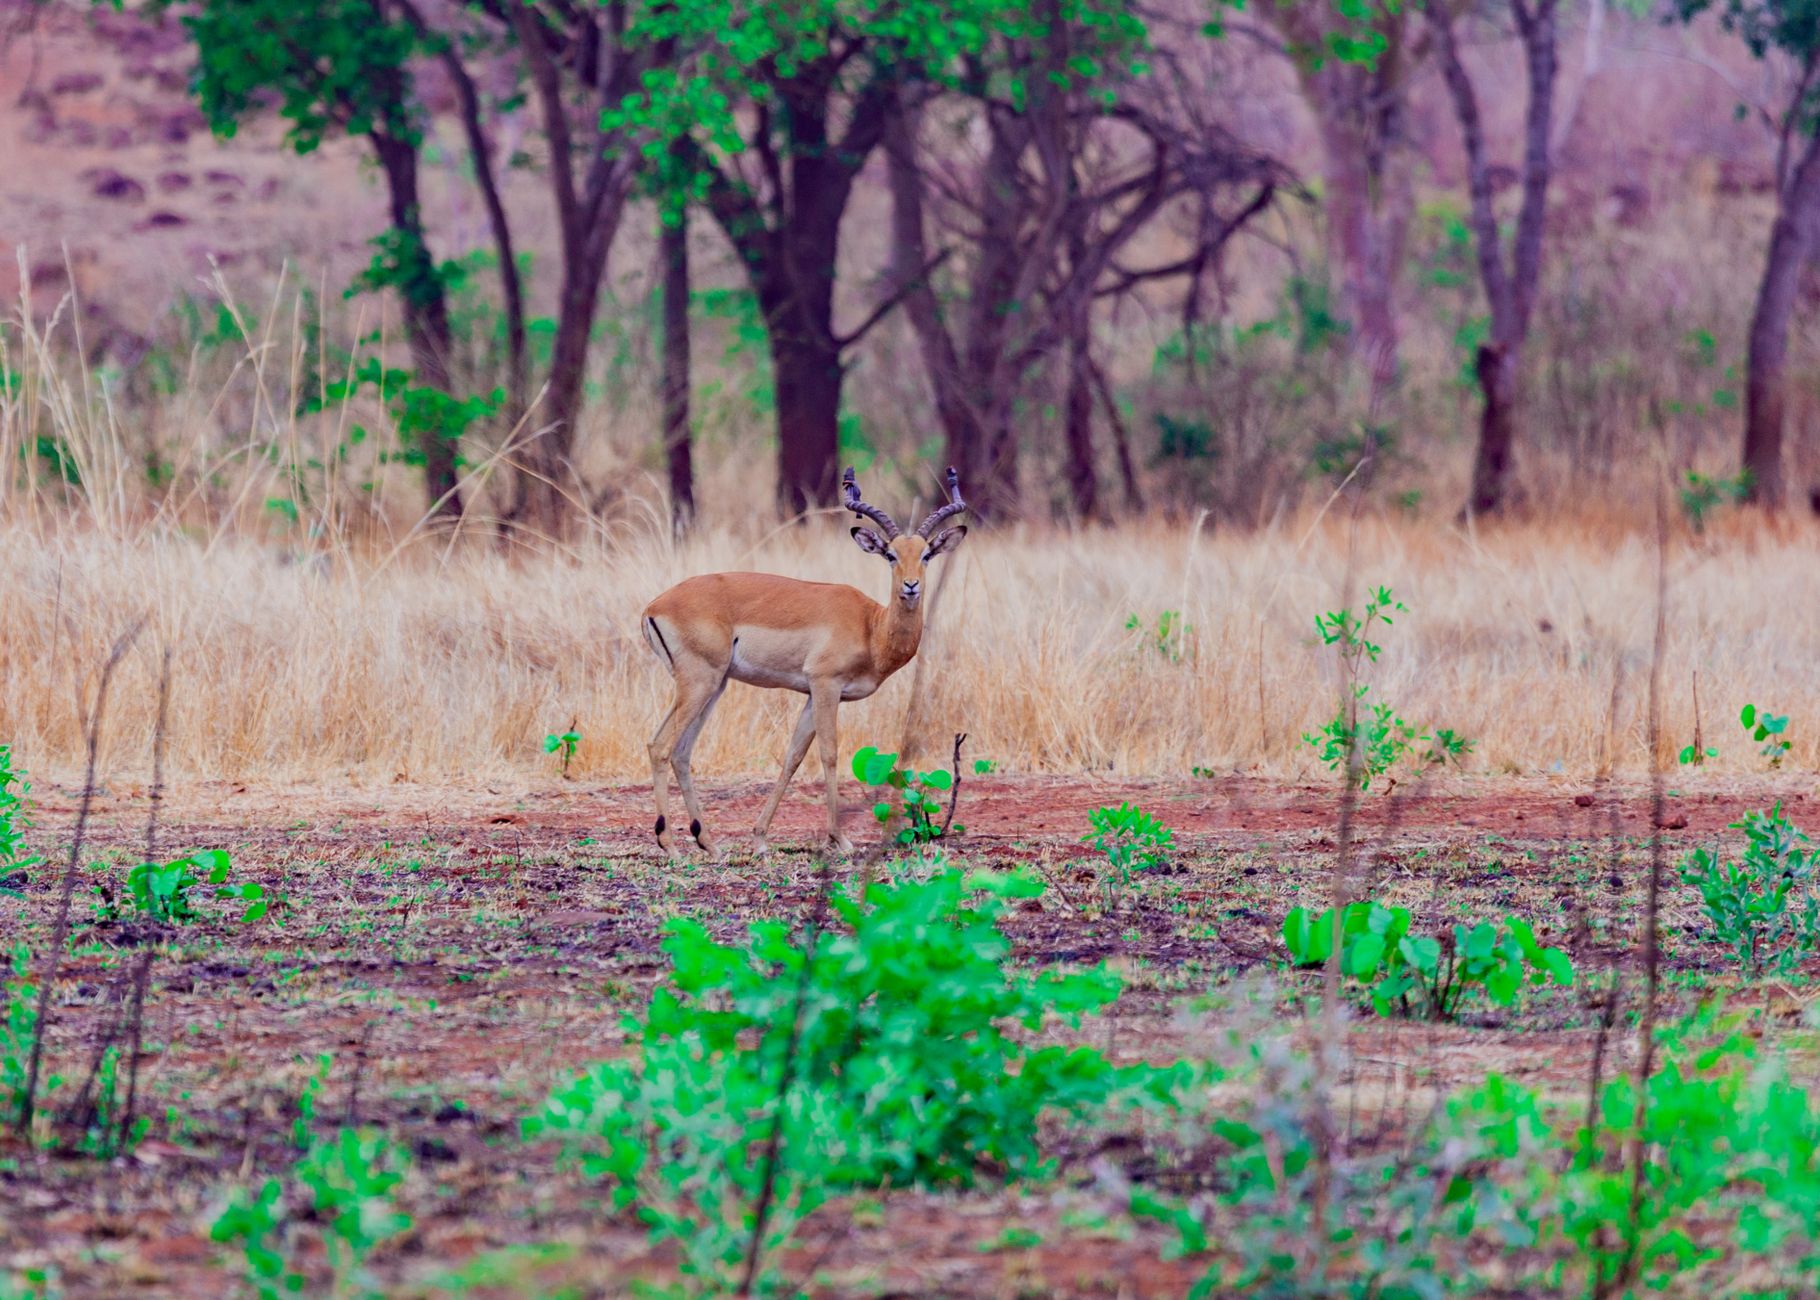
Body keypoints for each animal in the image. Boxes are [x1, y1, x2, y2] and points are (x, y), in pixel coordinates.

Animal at [641, 467, 968, 857]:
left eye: (927, 554)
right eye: (889, 554)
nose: (911, 586)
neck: (872, 626)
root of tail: (653, 606)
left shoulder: (812, 694)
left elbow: (793, 757)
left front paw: (760, 838)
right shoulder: (826, 685)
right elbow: (829, 754)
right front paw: (840, 838)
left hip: (714, 685)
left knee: (681, 751)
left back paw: (709, 843)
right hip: (699, 682)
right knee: (660, 746)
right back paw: (670, 845)